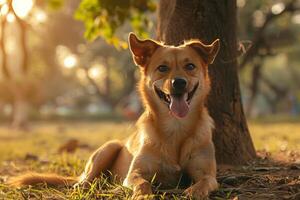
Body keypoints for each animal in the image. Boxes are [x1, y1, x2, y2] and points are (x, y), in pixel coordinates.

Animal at [9, 32, 220, 198]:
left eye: (190, 66)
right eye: (162, 68)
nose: (179, 82)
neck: (176, 127)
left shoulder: (208, 174)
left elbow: (205, 182)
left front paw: (195, 191)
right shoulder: (134, 174)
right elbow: (142, 183)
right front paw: (142, 196)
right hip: (109, 147)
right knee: (84, 180)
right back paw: (88, 186)